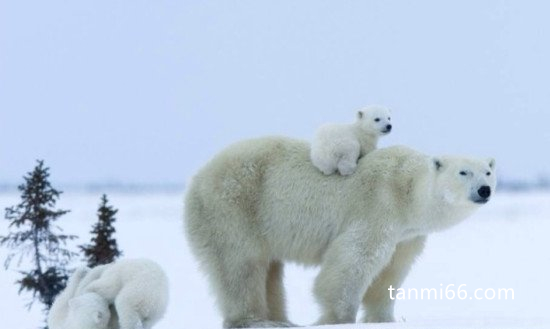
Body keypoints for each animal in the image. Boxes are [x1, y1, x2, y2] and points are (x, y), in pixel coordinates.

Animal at [187, 135, 500, 326]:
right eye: (463, 172)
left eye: (487, 172)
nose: (484, 190)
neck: (406, 190)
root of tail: (198, 177)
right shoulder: (378, 206)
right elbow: (354, 259)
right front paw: (338, 318)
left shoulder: (407, 235)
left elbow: (392, 271)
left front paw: (384, 319)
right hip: (234, 206)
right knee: (240, 263)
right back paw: (254, 320)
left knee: (270, 269)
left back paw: (282, 320)